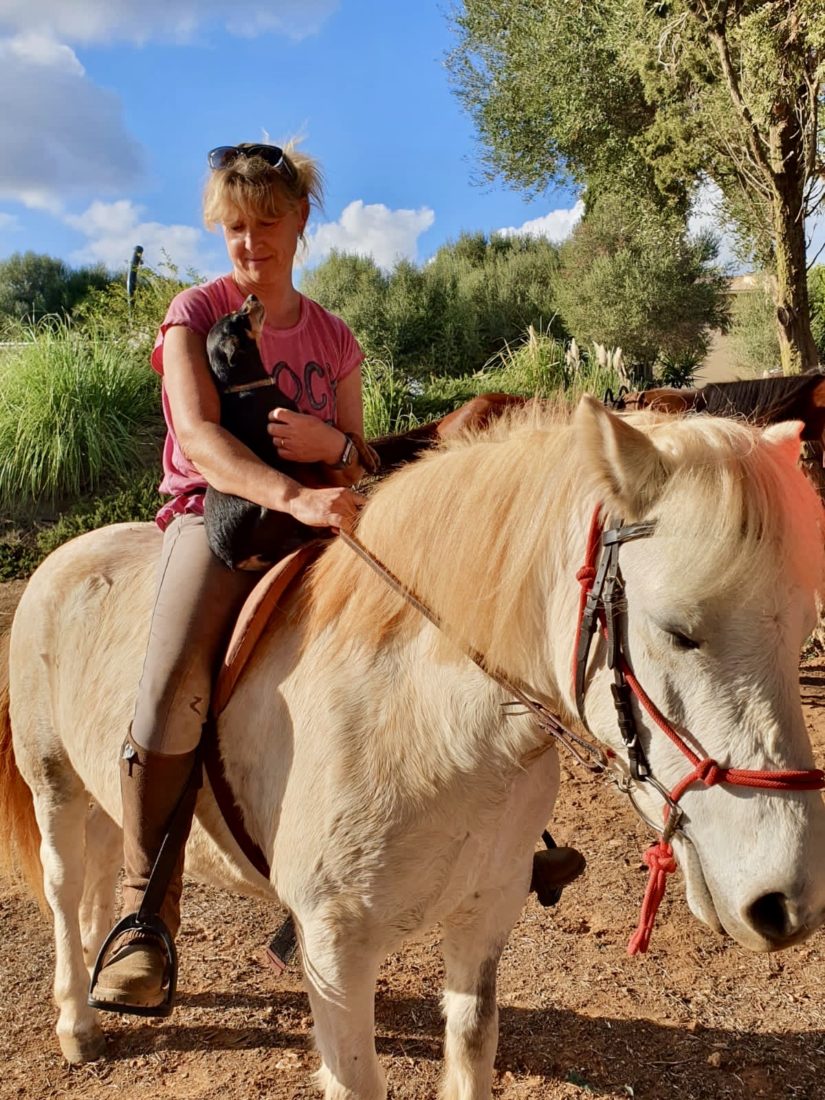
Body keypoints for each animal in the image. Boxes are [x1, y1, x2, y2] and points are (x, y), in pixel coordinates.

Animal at [1, 398, 825, 1100]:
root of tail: (68, 555)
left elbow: (471, 1045)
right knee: (66, 883)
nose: (787, 903)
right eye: (678, 630)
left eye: (798, 633)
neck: (427, 729)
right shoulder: (334, 955)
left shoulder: (484, 918)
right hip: (55, 782)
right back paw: (79, 1017)